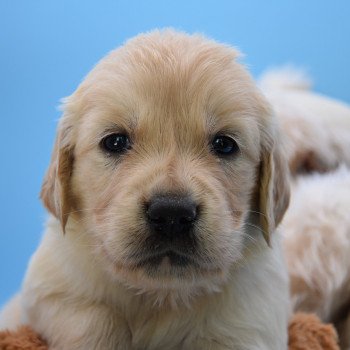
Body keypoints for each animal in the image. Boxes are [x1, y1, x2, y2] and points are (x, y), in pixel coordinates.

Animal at [0, 30, 290, 350]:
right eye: (115, 142)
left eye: (225, 144)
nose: (172, 214)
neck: (160, 295)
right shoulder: (48, 291)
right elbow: (95, 319)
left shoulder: (251, 320)